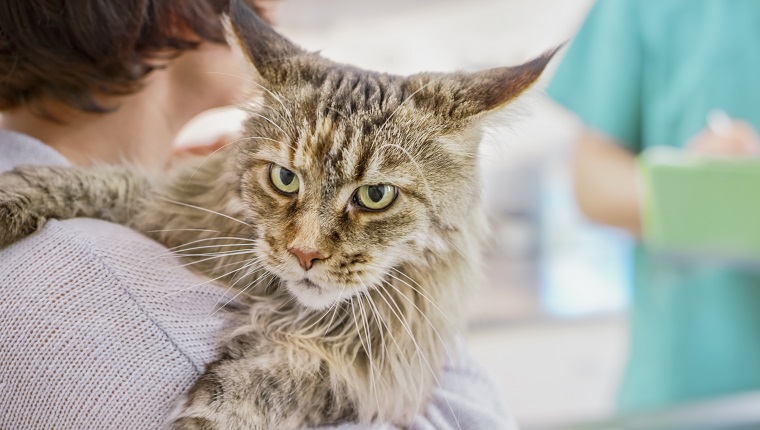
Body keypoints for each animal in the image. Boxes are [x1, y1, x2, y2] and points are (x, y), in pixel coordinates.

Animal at [0, 1, 552, 428]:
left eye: (375, 195)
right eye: (285, 179)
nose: (303, 254)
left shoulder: (388, 368)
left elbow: (303, 366)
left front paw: (212, 414)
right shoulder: (168, 198)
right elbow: (93, 182)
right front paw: (11, 202)